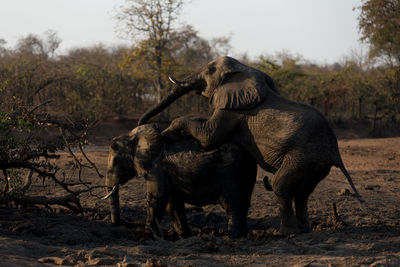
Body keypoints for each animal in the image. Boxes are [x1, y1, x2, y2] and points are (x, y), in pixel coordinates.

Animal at [104, 122, 258, 240]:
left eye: (116, 161)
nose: (124, 223)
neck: (132, 136)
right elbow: (173, 203)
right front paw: (186, 237)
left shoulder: (157, 166)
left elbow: (158, 197)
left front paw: (145, 235)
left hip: (231, 172)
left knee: (233, 205)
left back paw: (234, 237)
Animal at [137, 55, 362, 236]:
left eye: (209, 70)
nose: (147, 124)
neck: (244, 69)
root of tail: (336, 151)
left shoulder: (233, 110)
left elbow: (209, 136)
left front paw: (167, 132)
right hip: (315, 163)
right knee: (302, 193)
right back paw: (304, 231)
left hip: (304, 156)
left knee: (281, 186)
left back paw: (286, 233)